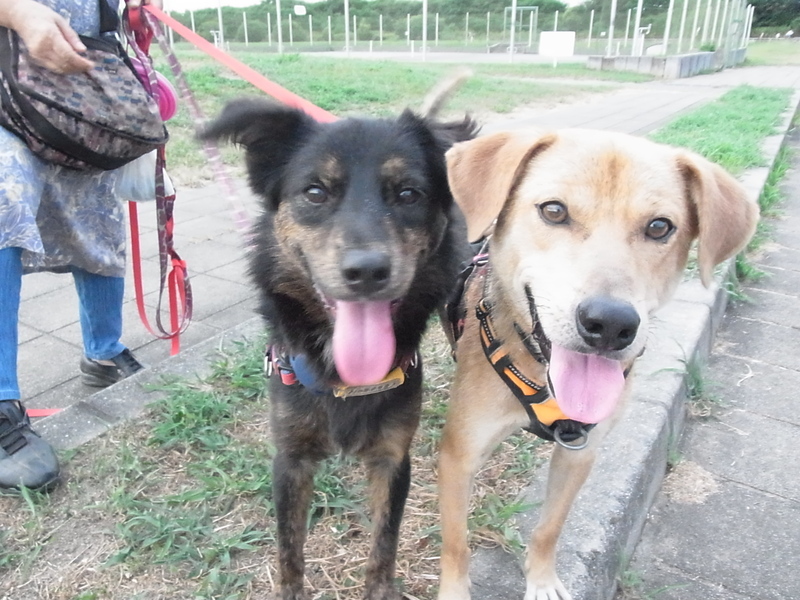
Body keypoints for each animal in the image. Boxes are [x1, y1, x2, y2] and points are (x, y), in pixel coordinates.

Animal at [201, 87, 478, 600]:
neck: (344, 376)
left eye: (409, 194)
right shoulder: (289, 458)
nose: (367, 271)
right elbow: (289, 548)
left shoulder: (394, 457)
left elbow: (383, 543)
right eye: (315, 192)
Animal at [436, 128, 759, 600]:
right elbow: (456, 545)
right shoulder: (459, 456)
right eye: (554, 211)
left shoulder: (580, 452)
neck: (538, 370)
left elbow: (550, 528)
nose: (610, 324)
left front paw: (542, 580)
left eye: (659, 227)